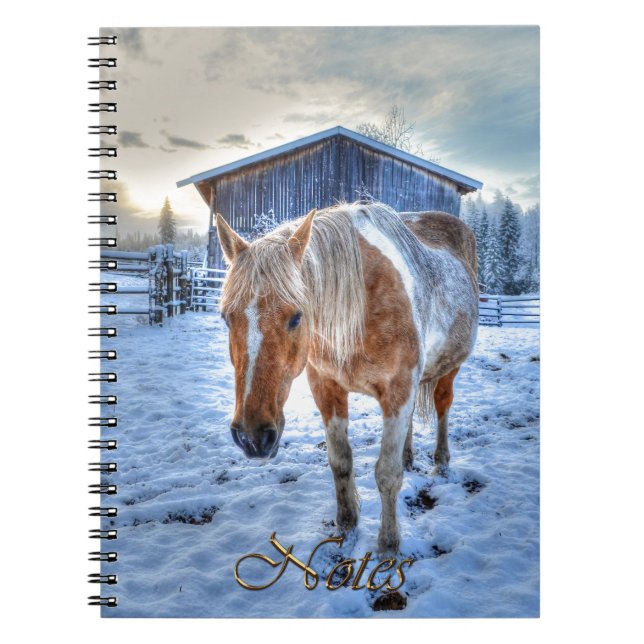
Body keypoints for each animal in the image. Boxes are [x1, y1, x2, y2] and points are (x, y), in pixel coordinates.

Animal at [216, 201, 479, 553]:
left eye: (296, 317)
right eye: (226, 317)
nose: (252, 437)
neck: (361, 308)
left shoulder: (398, 390)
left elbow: (387, 474)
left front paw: (388, 545)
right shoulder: (326, 388)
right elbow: (340, 461)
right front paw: (346, 524)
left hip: (449, 369)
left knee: (442, 406)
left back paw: (442, 462)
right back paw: (409, 456)